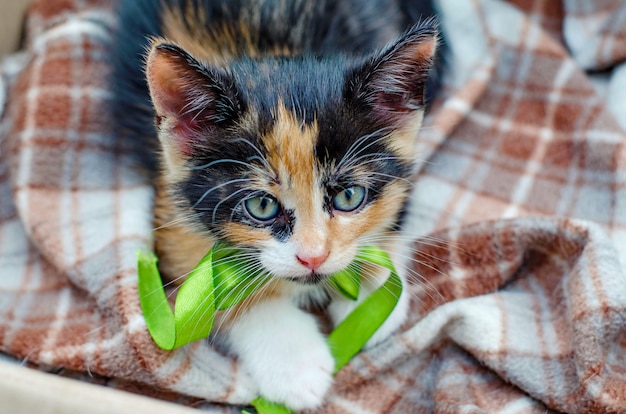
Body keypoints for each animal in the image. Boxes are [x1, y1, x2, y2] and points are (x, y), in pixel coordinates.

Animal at [108, 0, 438, 408]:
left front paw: (373, 291)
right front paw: (293, 364)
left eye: (348, 197)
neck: (269, 50)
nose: (313, 257)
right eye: (262, 206)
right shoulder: (173, 205)